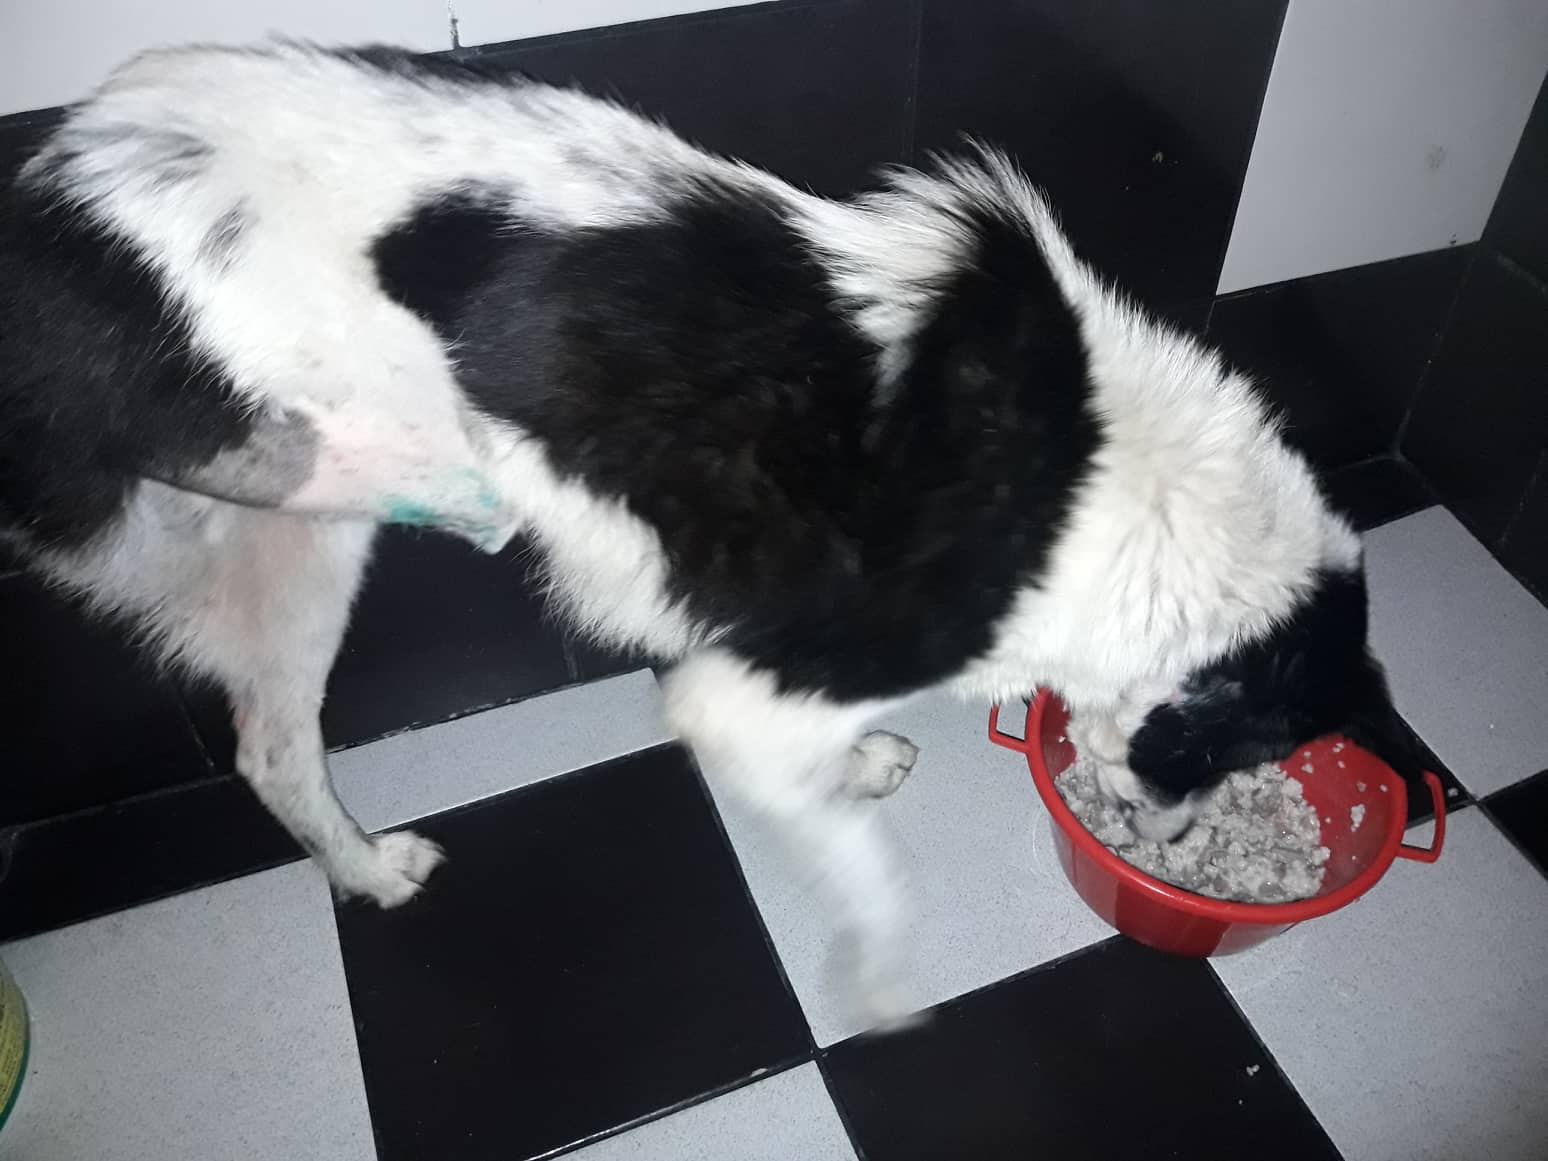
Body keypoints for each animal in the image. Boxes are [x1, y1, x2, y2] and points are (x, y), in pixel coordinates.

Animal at [0, 41, 1421, 1025]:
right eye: (1249, 755)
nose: (1169, 854)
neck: (1121, 503)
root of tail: (54, 200)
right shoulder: (748, 702)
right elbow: (867, 877)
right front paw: (882, 984)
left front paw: (862, 768)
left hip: (306, 547)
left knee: (273, 751)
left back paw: (368, 866)